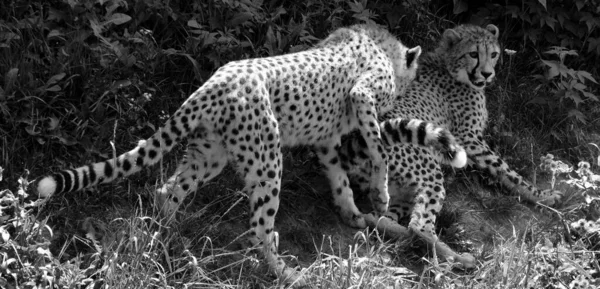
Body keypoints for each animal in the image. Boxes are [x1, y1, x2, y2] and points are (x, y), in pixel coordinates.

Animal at [35, 24, 466, 284]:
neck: (382, 46)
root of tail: (213, 82)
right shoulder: (362, 96)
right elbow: (376, 149)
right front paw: (380, 195)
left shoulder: (327, 141)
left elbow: (340, 179)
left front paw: (352, 213)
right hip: (265, 158)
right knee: (259, 225)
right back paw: (285, 273)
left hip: (210, 154)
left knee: (168, 190)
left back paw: (169, 235)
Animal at [338, 23, 564, 268]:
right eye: (473, 54)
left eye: (494, 54)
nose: (487, 74)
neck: (448, 66)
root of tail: (352, 142)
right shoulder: (469, 139)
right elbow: (508, 172)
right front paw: (542, 196)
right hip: (427, 170)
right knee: (419, 226)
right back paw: (459, 258)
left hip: (398, 190)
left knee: (384, 218)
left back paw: (391, 229)